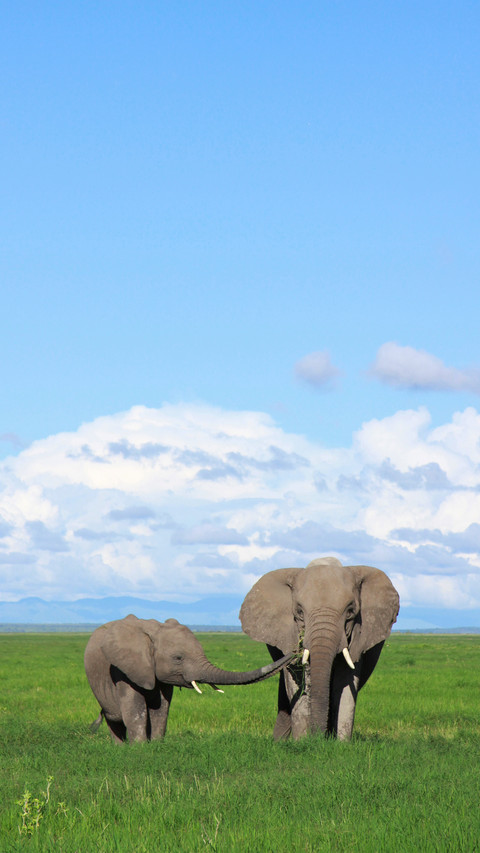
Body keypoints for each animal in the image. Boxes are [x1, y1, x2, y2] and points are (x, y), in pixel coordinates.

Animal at [84, 613, 294, 743]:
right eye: (178, 658)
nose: (295, 649)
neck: (154, 632)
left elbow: (161, 709)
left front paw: (156, 745)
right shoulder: (123, 668)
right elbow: (135, 711)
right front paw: (140, 748)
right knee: (114, 720)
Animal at [239, 557, 399, 741]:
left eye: (350, 611)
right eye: (300, 612)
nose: (317, 738)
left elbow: (346, 679)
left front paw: (340, 743)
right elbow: (296, 679)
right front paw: (302, 741)